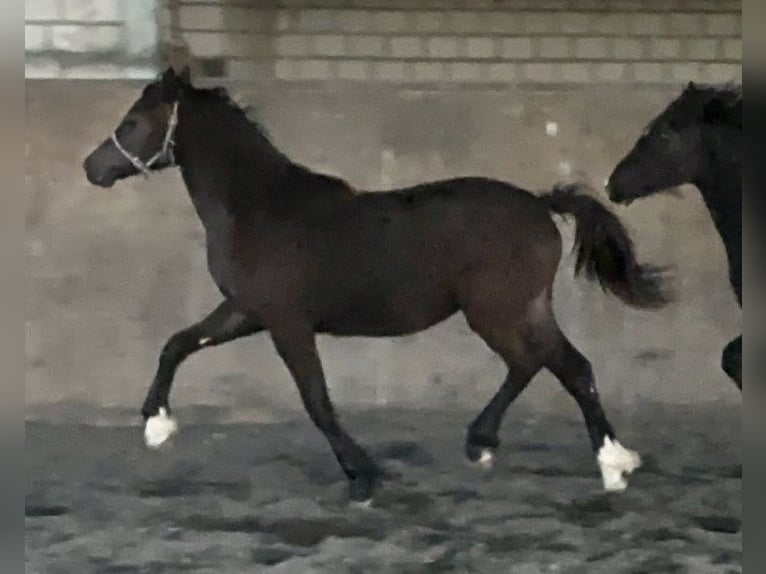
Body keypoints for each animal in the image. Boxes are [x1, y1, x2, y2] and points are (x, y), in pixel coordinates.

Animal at [82, 66, 672, 500]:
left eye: (133, 121)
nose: (93, 168)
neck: (260, 208)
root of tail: (539, 204)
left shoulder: (286, 323)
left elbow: (317, 401)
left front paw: (362, 474)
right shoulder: (246, 312)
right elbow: (177, 343)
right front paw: (156, 424)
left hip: (497, 310)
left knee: (555, 365)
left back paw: (593, 459)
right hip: (520, 309)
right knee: (554, 366)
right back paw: (528, 451)